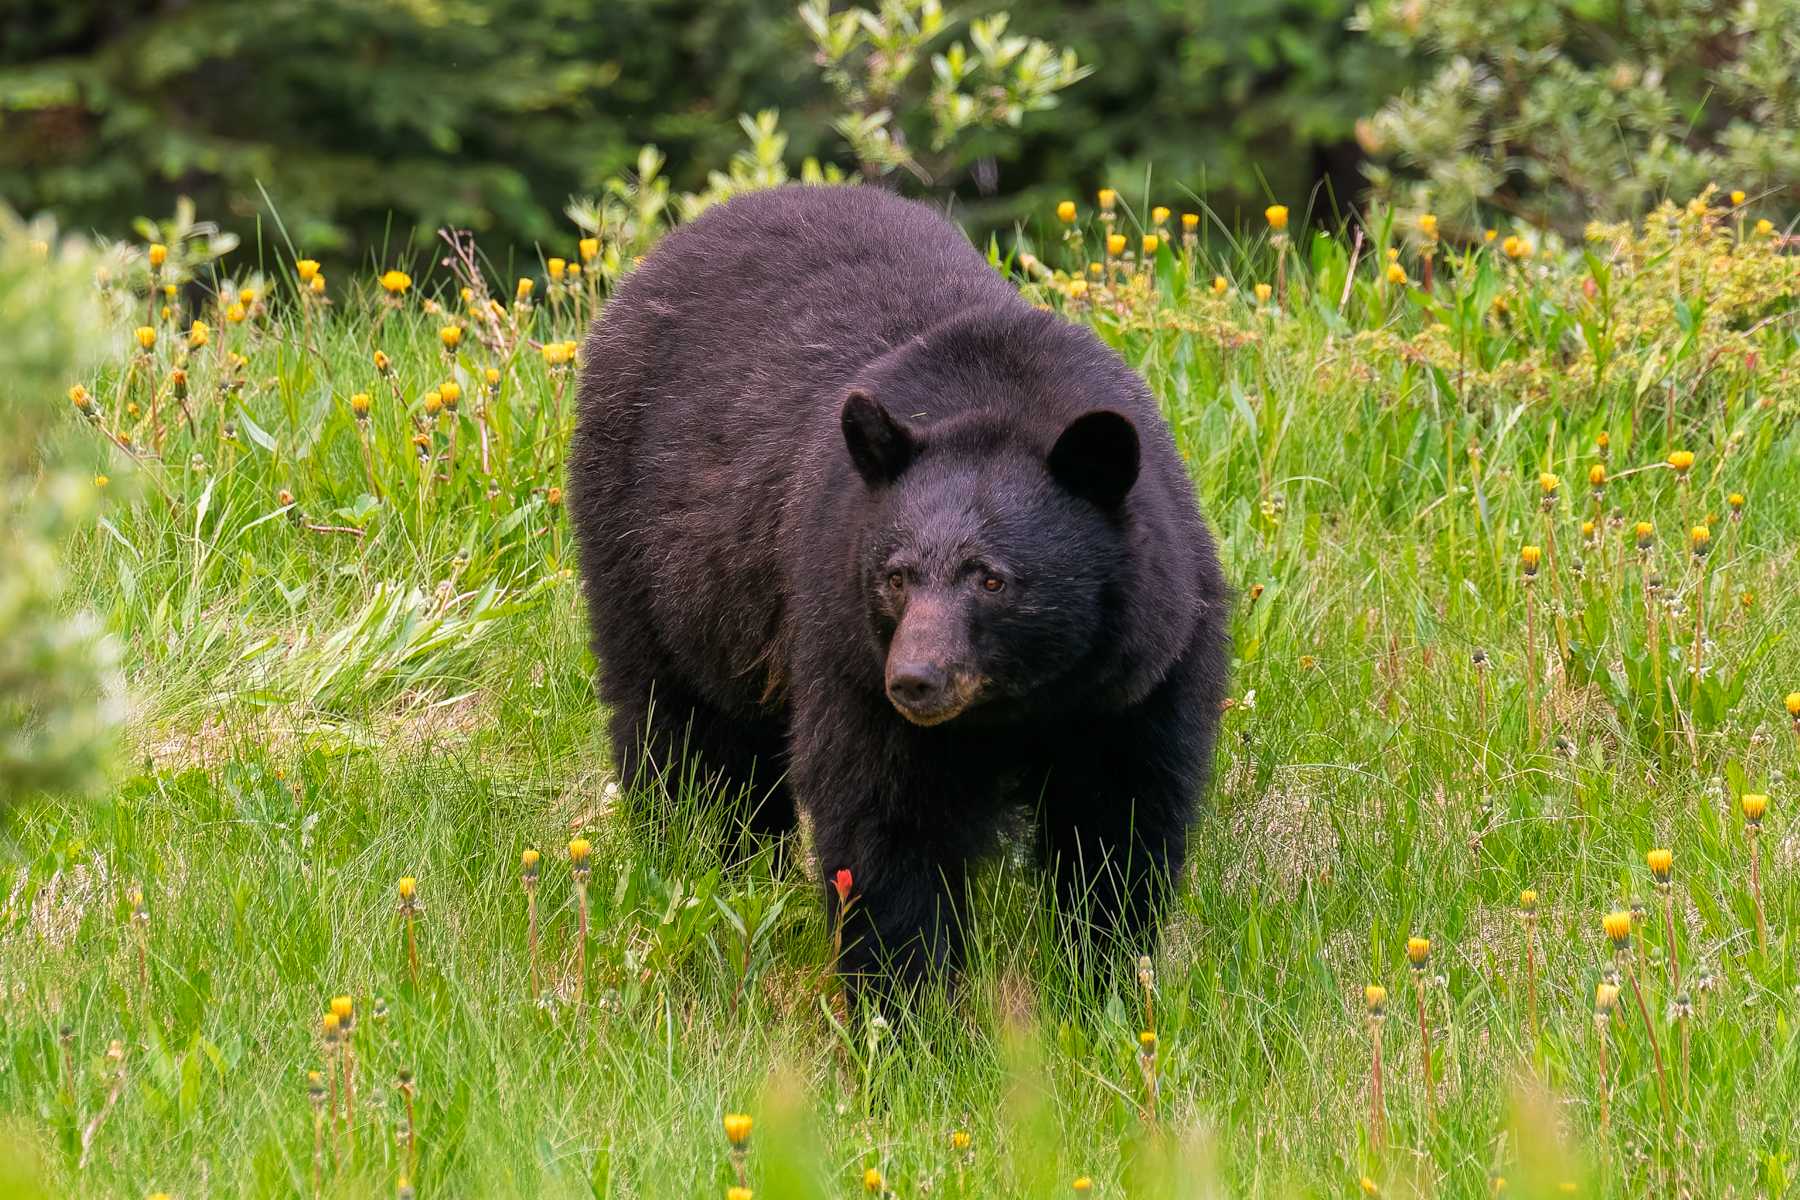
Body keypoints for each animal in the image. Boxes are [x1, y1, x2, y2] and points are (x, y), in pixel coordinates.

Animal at [568, 184, 1230, 992]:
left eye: (992, 579)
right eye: (895, 575)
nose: (915, 680)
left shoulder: (1144, 670)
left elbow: (1119, 822)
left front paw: (1101, 980)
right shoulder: (846, 645)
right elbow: (886, 824)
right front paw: (910, 1003)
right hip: (647, 557)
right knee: (682, 734)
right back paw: (695, 862)